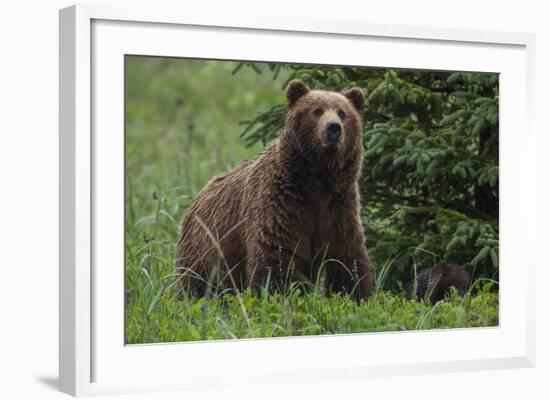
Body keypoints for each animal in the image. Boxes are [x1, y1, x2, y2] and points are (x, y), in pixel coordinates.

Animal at [177, 79, 376, 298]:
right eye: (317, 111)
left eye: (343, 113)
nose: (334, 128)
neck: (317, 178)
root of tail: (197, 197)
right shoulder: (282, 204)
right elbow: (276, 255)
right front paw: (274, 293)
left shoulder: (339, 207)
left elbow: (347, 257)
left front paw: (356, 294)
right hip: (206, 245)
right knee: (195, 280)